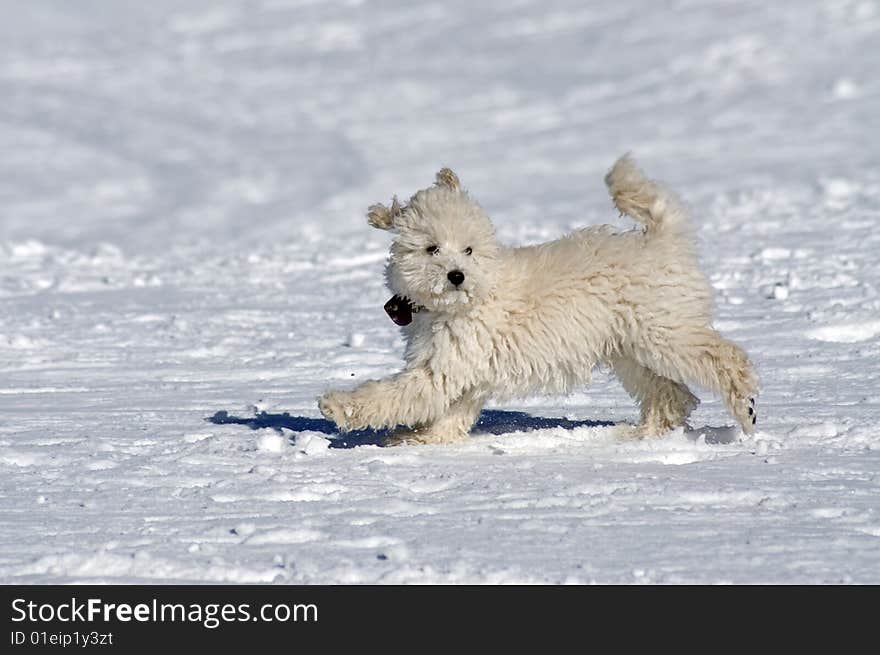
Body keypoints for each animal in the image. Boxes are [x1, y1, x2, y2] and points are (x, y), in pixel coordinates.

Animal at [320, 155, 760, 446]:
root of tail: (663, 240)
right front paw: (423, 439)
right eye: (432, 249)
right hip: (632, 350)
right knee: (671, 395)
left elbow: (397, 395)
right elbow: (451, 414)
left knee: (726, 359)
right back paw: (640, 435)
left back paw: (746, 407)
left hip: (665, 334)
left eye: (468, 250)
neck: (468, 299)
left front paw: (339, 407)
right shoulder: (466, 373)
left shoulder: (442, 368)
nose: (456, 276)